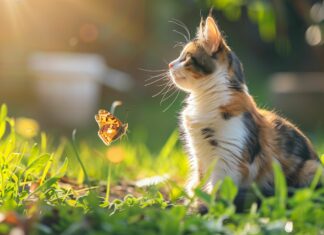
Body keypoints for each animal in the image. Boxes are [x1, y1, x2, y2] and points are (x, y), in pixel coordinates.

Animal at [168, 15, 320, 197]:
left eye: (186, 57)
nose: (170, 64)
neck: (204, 100)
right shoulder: (199, 156)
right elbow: (199, 181)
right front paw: (194, 197)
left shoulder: (228, 158)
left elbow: (218, 192)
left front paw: (206, 202)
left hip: (310, 169)